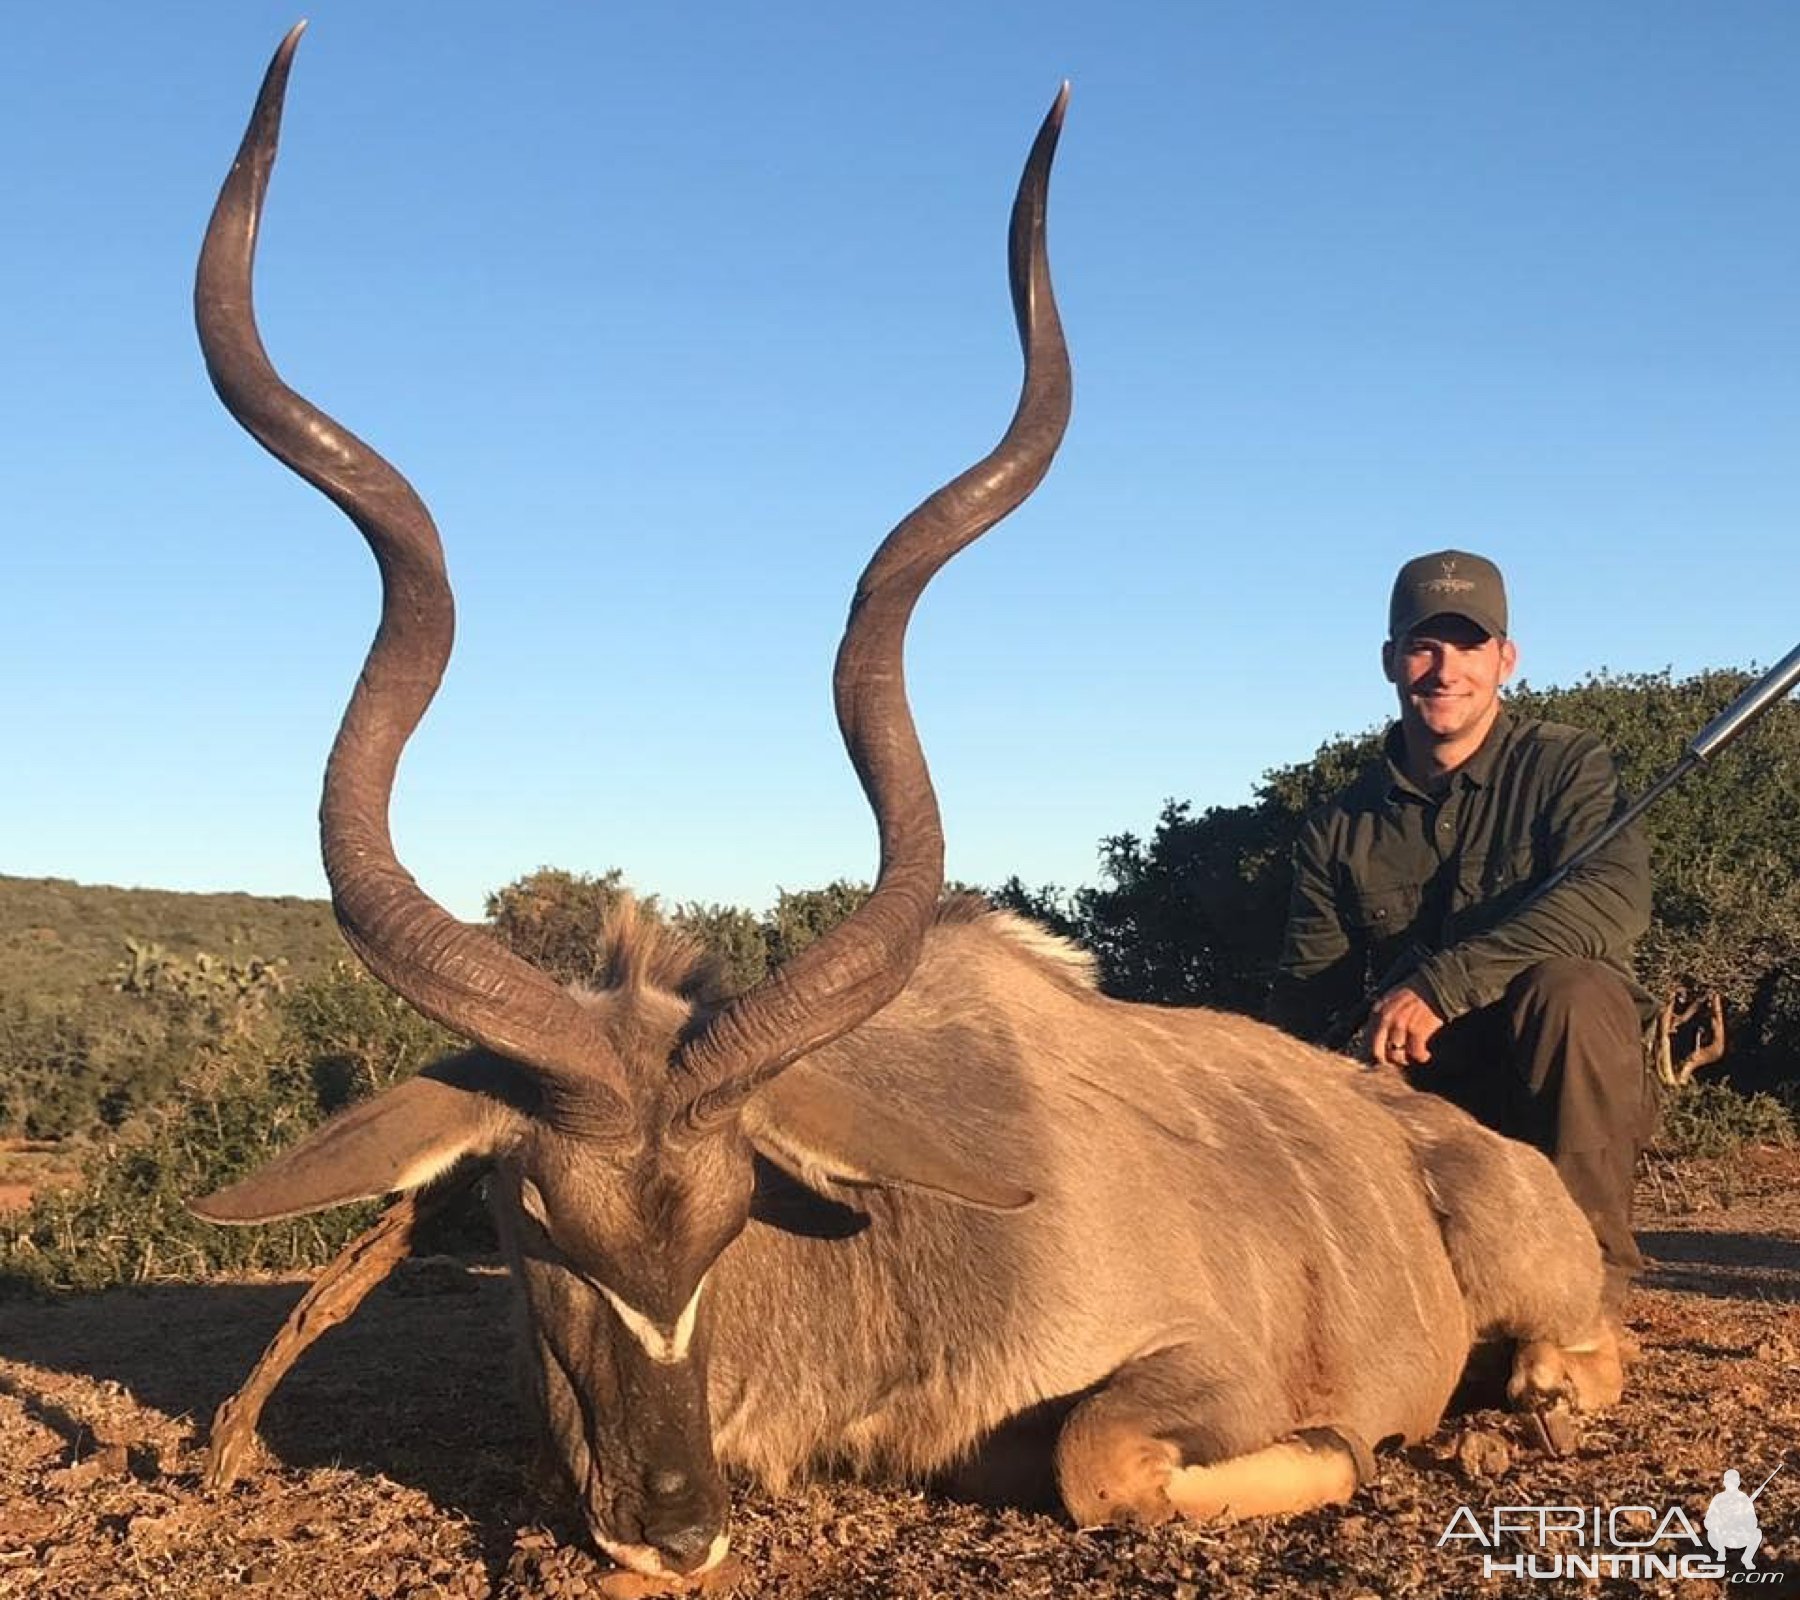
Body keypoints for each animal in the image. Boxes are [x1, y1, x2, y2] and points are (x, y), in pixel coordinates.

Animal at [193, 24, 1620, 1583]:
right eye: (537, 1224)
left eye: (731, 1217)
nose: (676, 1525)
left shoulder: (1192, 1366)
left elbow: (1102, 1455)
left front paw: (1353, 1446)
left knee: (1577, 1350)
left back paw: (1524, 1404)